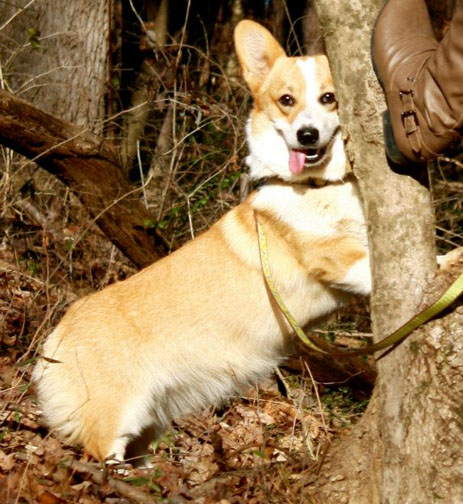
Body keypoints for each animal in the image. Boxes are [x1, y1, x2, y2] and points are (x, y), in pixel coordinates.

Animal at [33, 20, 371, 464]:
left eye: (329, 98)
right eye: (287, 100)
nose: (307, 135)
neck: (313, 186)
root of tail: (56, 336)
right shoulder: (334, 257)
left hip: (148, 423)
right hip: (115, 419)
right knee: (100, 458)